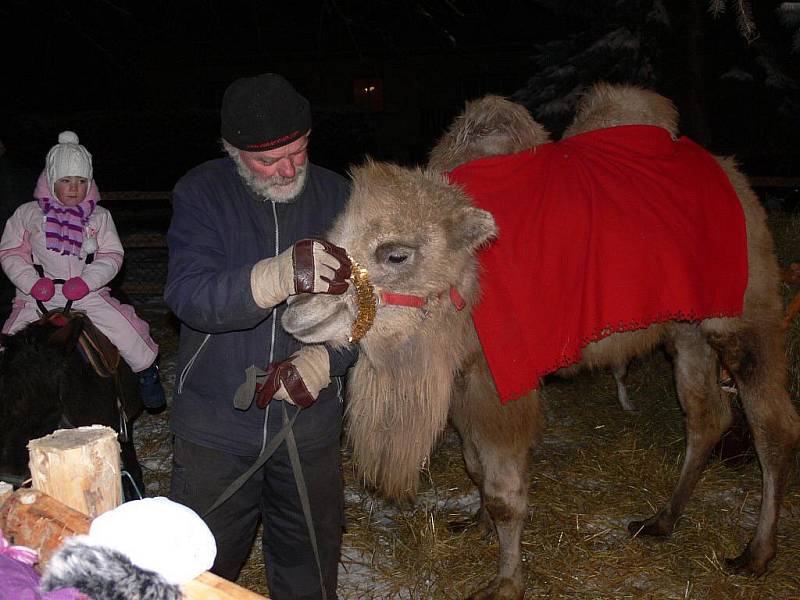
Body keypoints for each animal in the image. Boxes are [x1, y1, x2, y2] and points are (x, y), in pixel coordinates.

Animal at [282, 85, 800, 600]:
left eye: (395, 254)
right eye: (331, 240)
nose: (296, 312)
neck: (473, 280)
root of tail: (735, 178)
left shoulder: (504, 382)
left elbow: (505, 493)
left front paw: (506, 581)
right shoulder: (466, 376)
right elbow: (474, 465)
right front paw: (476, 523)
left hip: (742, 313)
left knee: (772, 424)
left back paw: (756, 554)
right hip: (684, 327)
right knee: (706, 414)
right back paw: (661, 521)